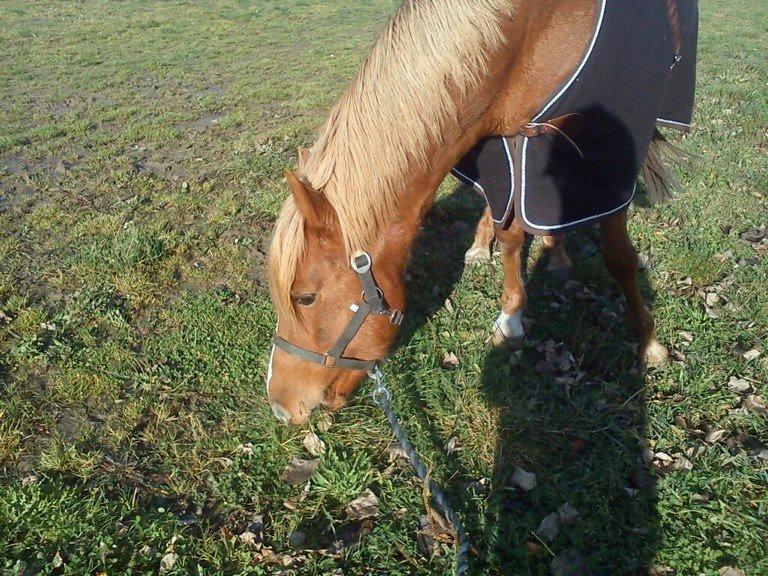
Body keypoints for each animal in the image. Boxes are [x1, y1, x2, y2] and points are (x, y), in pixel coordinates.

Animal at [266, 0, 690, 425]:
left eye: (304, 298)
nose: (281, 405)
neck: (532, 26)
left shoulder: (611, 156)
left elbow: (619, 257)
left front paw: (648, 341)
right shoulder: (496, 139)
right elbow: (511, 235)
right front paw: (511, 315)